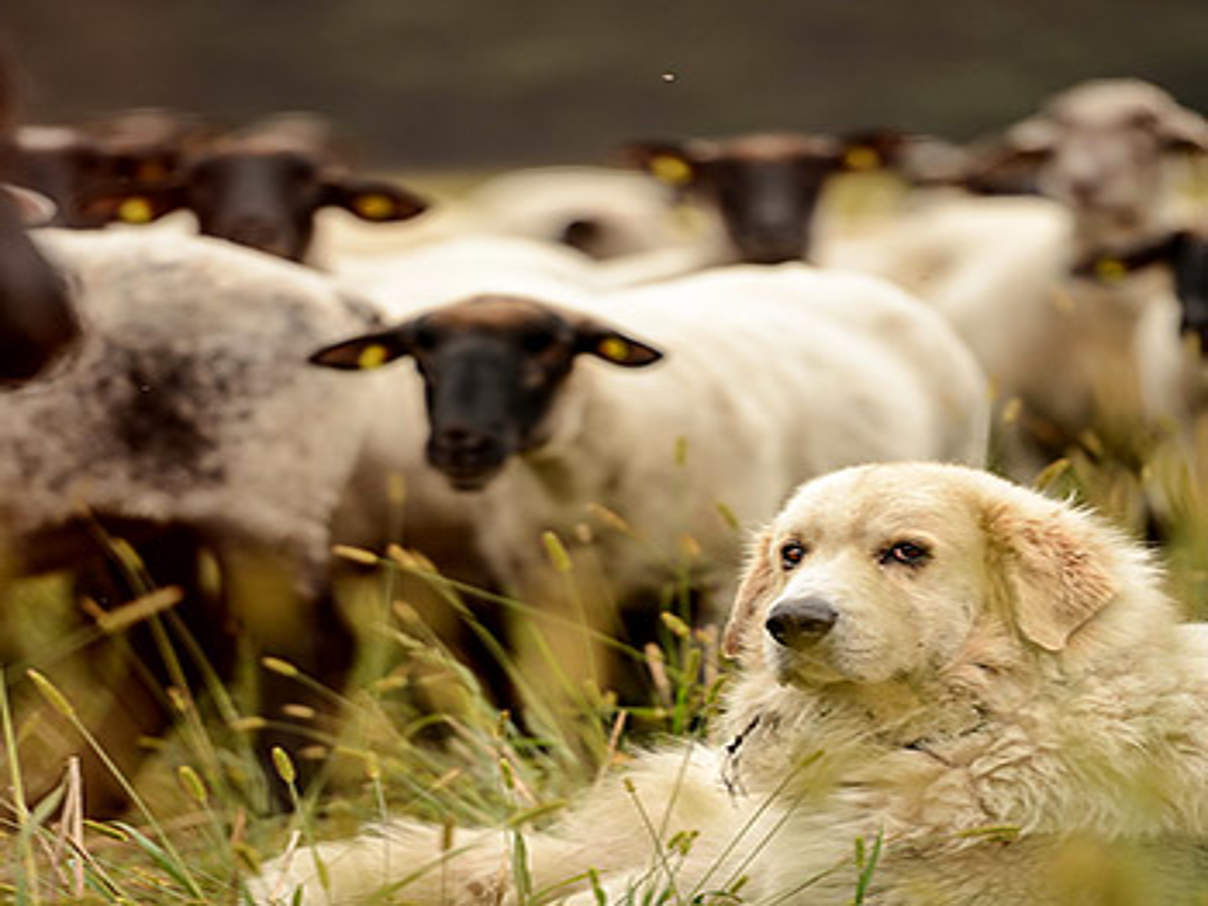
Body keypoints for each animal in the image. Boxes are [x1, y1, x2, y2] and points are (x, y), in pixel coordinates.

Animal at [0, 228, 376, 816]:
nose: (56, 326)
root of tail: (339, 298)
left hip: (265, 505)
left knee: (306, 648)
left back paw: (278, 801)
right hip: (149, 522)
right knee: (179, 648)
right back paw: (67, 804)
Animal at [306, 265, 985, 715]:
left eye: (548, 348)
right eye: (419, 355)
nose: (459, 446)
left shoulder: (716, 585)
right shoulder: (553, 595)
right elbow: (570, 703)